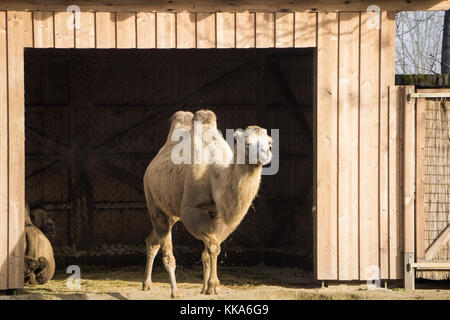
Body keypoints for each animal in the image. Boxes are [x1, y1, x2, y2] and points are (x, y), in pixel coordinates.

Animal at [142, 110, 272, 298]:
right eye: (247, 144)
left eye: (270, 142)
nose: (266, 154)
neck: (214, 175)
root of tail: (151, 167)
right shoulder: (191, 211)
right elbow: (213, 246)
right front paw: (214, 285)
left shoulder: (218, 215)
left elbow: (211, 250)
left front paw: (207, 287)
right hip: (153, 201)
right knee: (167, 250)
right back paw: (174, 291)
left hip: (172, 211)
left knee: (153, 241)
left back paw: (146, 283)